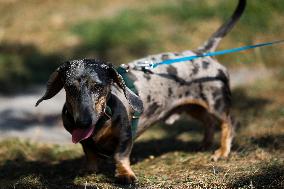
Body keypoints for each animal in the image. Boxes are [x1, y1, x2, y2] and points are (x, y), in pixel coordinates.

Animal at [36, 0, 246, 183]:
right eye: (70, 87)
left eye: (98, 87)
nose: (82, 122)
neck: (101, 120)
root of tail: (202, 53)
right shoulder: (84, 141)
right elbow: (89, 152)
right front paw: (89, 169)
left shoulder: (125, 136)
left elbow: (120, 156)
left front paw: (125, 175)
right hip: (194, 107)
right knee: (208, 122)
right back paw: (205, 145)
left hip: (216, 103)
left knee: (228, 123)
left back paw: (222, 152)